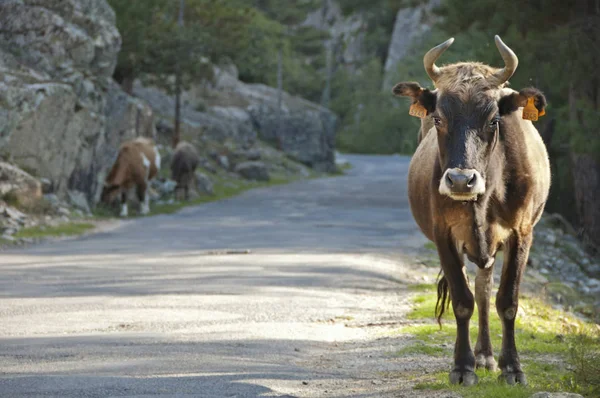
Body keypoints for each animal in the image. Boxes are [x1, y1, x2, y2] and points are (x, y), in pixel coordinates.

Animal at [392, 36, 552, 386]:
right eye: (439, 119)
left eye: (493, 120)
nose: (460, 180)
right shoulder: (444, 235)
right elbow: (462, 300)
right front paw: (463, 367)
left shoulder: (522, 234)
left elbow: (508, 301)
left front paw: (513, 368)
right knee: (476, 290)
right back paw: (481, 357)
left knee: (485, 289)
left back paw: (488, 356)